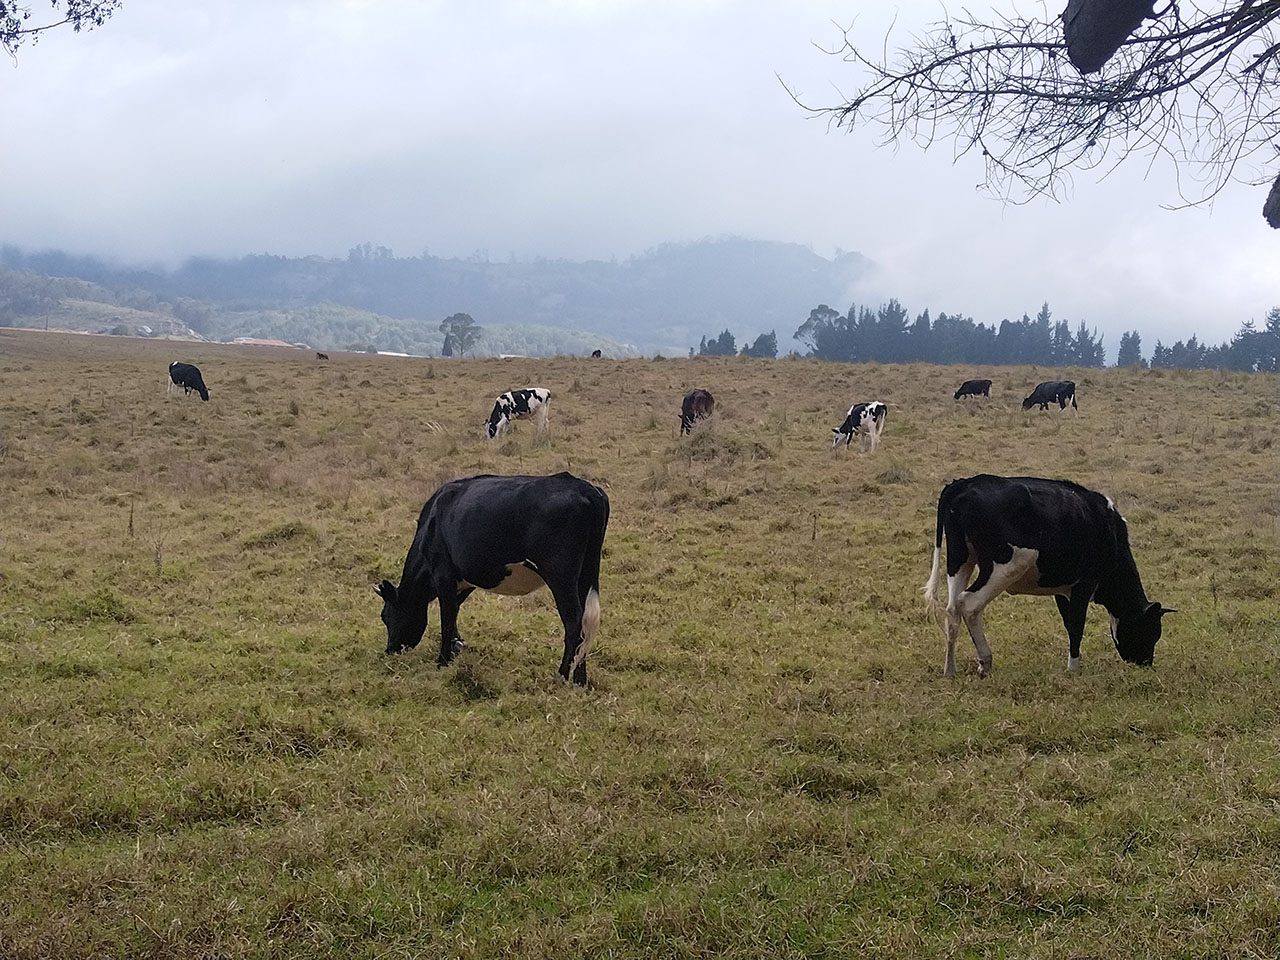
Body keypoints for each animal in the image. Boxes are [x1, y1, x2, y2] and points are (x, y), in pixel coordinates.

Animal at [375, 473, 609, 686]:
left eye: (385, 616)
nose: (390, 650)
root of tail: (584, 487)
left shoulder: (443, 574)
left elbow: (447, 619)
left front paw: (442, 660)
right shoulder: (464, 580)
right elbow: (454, 613)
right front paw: (456, 647)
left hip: (561, 575)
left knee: (573, 621)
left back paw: (561, 676)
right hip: (586, 574)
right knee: (586, 623)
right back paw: (580, 680)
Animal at [923, 474, 1173, 677]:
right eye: (1151, 631)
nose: (1145, 664)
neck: (1107, 528)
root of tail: (964, 483)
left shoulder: (1063, 590)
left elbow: (1068, 623)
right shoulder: (1085, 584)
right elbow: (1076, 625)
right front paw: (1073, 668)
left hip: (960, 559)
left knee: (952, 610)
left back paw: (950, 669)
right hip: (1003, 567)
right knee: (969, 603)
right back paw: (985, 662)